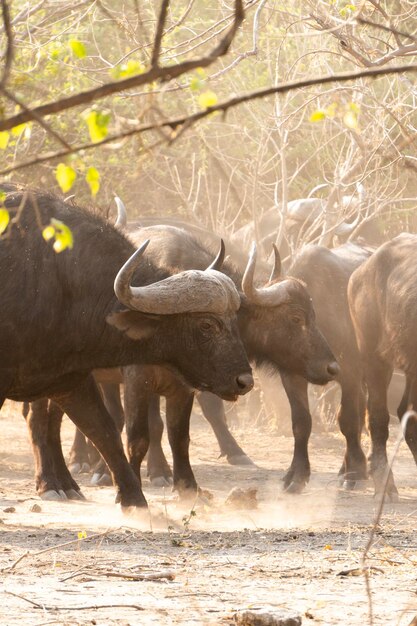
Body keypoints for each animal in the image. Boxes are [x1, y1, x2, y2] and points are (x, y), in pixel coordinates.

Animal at [0, 186, 254, 508]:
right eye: (207, 325)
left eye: (235, 319)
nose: (245, 381)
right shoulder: (134, 381)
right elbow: (136, 435)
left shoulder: (72, 378)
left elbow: (114, 431)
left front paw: (163, 493)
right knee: (37, 421)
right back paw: (50, 482)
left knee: (52, 425)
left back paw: (66, 483)